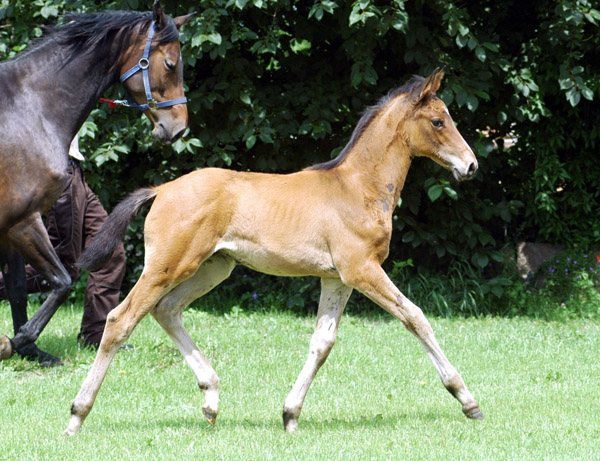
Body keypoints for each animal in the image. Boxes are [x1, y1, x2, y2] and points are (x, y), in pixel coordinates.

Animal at [0, 1, 195, 364]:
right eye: (170, 63)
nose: (177, 128)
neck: (29, 107)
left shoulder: (10, 227)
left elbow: (19, 289)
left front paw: (31, 351)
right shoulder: (24, 222)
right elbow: (63, 281)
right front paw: (15, 342)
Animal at [64, 68, 482, 434]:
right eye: (439, 121)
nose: (471, 165)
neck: (358, 188)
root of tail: (161, 189)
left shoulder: (337, 279)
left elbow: (322, 343)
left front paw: (290, 415)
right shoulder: (362, 269)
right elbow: (416, 317)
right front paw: (467, 400)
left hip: (214, 267)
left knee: (165, 310)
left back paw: (211, 399)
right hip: (167, 266)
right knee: (121, 319)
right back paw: (77, 415)